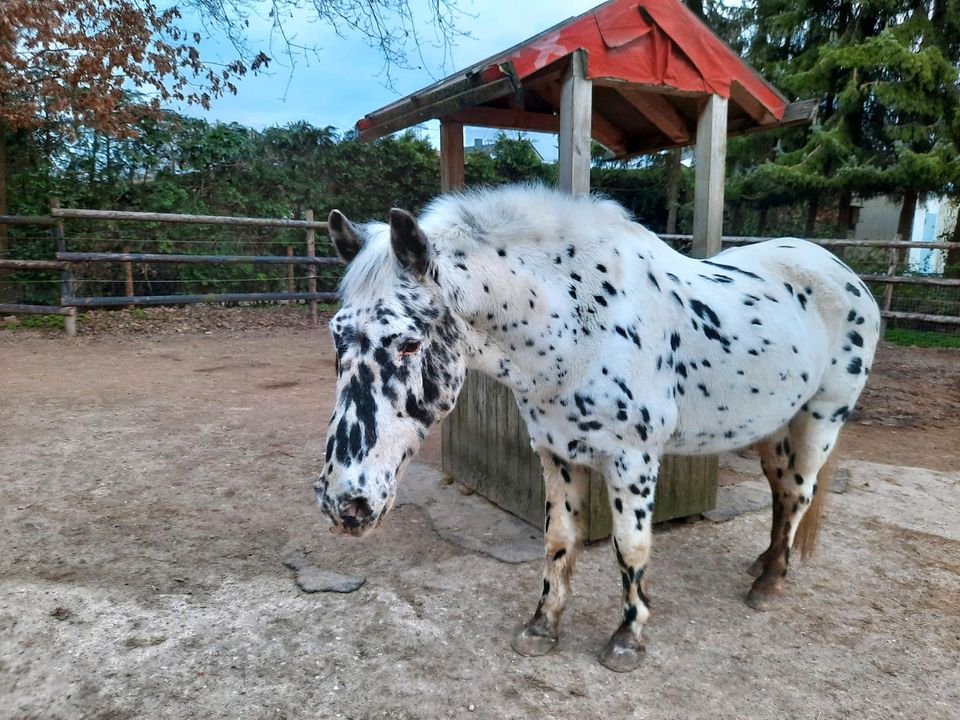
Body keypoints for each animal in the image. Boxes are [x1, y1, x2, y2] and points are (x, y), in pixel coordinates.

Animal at [314, 183, 876, 672]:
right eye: (337, 334)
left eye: (409, 343)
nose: (345, 502)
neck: (580, 323)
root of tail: (842, 271)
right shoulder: (556, 451)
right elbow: (560, 539)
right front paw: (542, 627)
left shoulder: (634, 460)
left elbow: (631, 545)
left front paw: (628, 638)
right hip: (774, 425)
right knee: (782, 492)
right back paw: (763, 563)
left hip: (821, 417)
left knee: (799, 492)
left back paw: (770, 583)